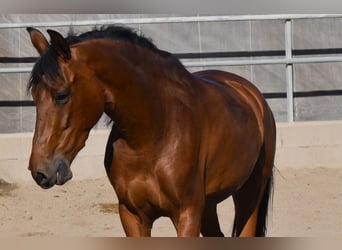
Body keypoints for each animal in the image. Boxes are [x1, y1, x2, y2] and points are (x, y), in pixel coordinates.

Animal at [27, 24, 278, 236]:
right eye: (34, 97)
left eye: (61, 95)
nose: (39, 171)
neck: (154, 134)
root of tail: (251, 94)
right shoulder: (132, 215)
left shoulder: (187, 215)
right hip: (210, 204)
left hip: (249, 194)